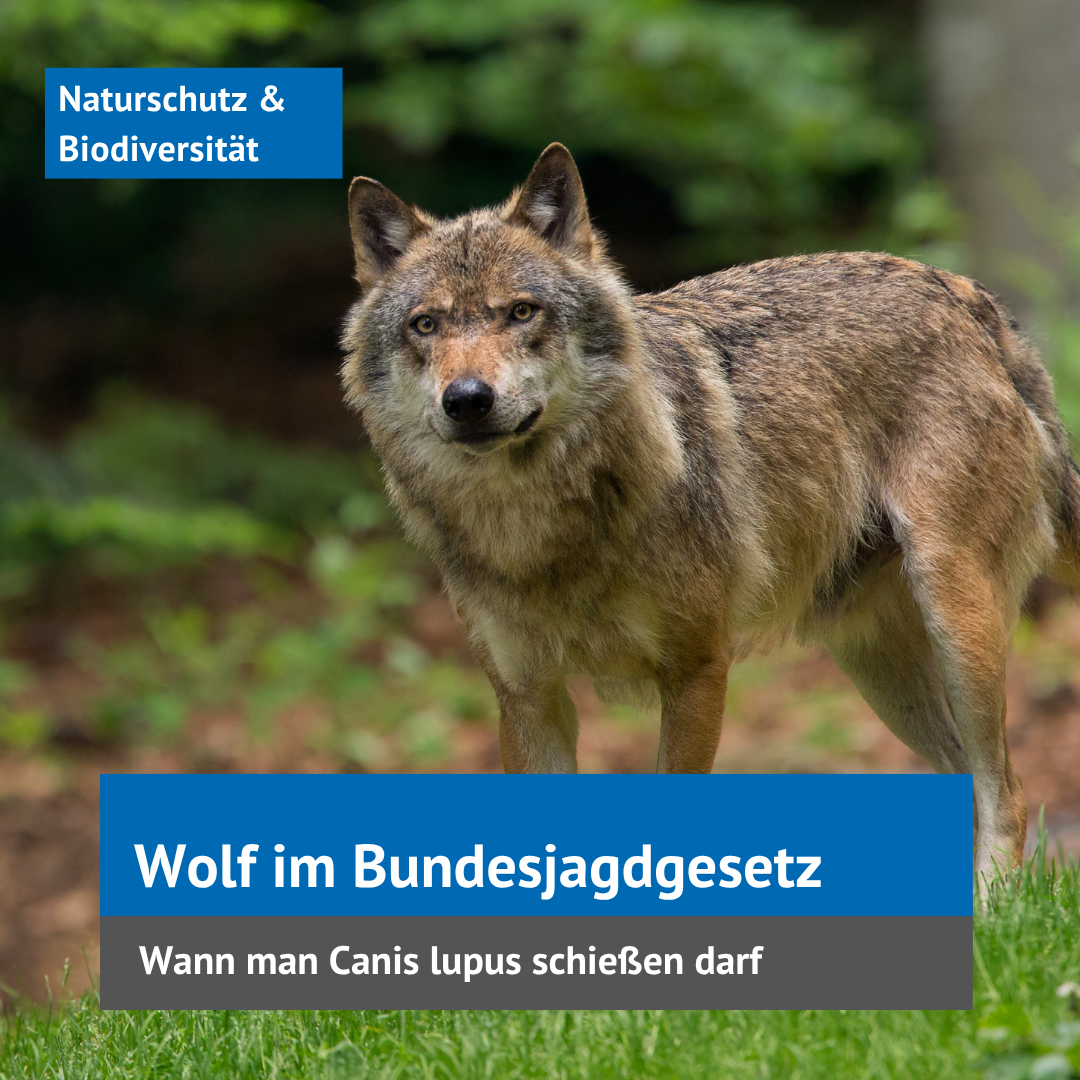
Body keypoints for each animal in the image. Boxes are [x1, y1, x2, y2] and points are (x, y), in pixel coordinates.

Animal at [341, 142, 1080, 880]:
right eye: (426, 325)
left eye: (521, 313)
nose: (467, 399)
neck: (541, 530)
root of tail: (962, 291)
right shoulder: (528, 700)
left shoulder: (697, 672)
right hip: (876, 666)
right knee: (971, 788)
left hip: (954, 616)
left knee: (1008, 792)